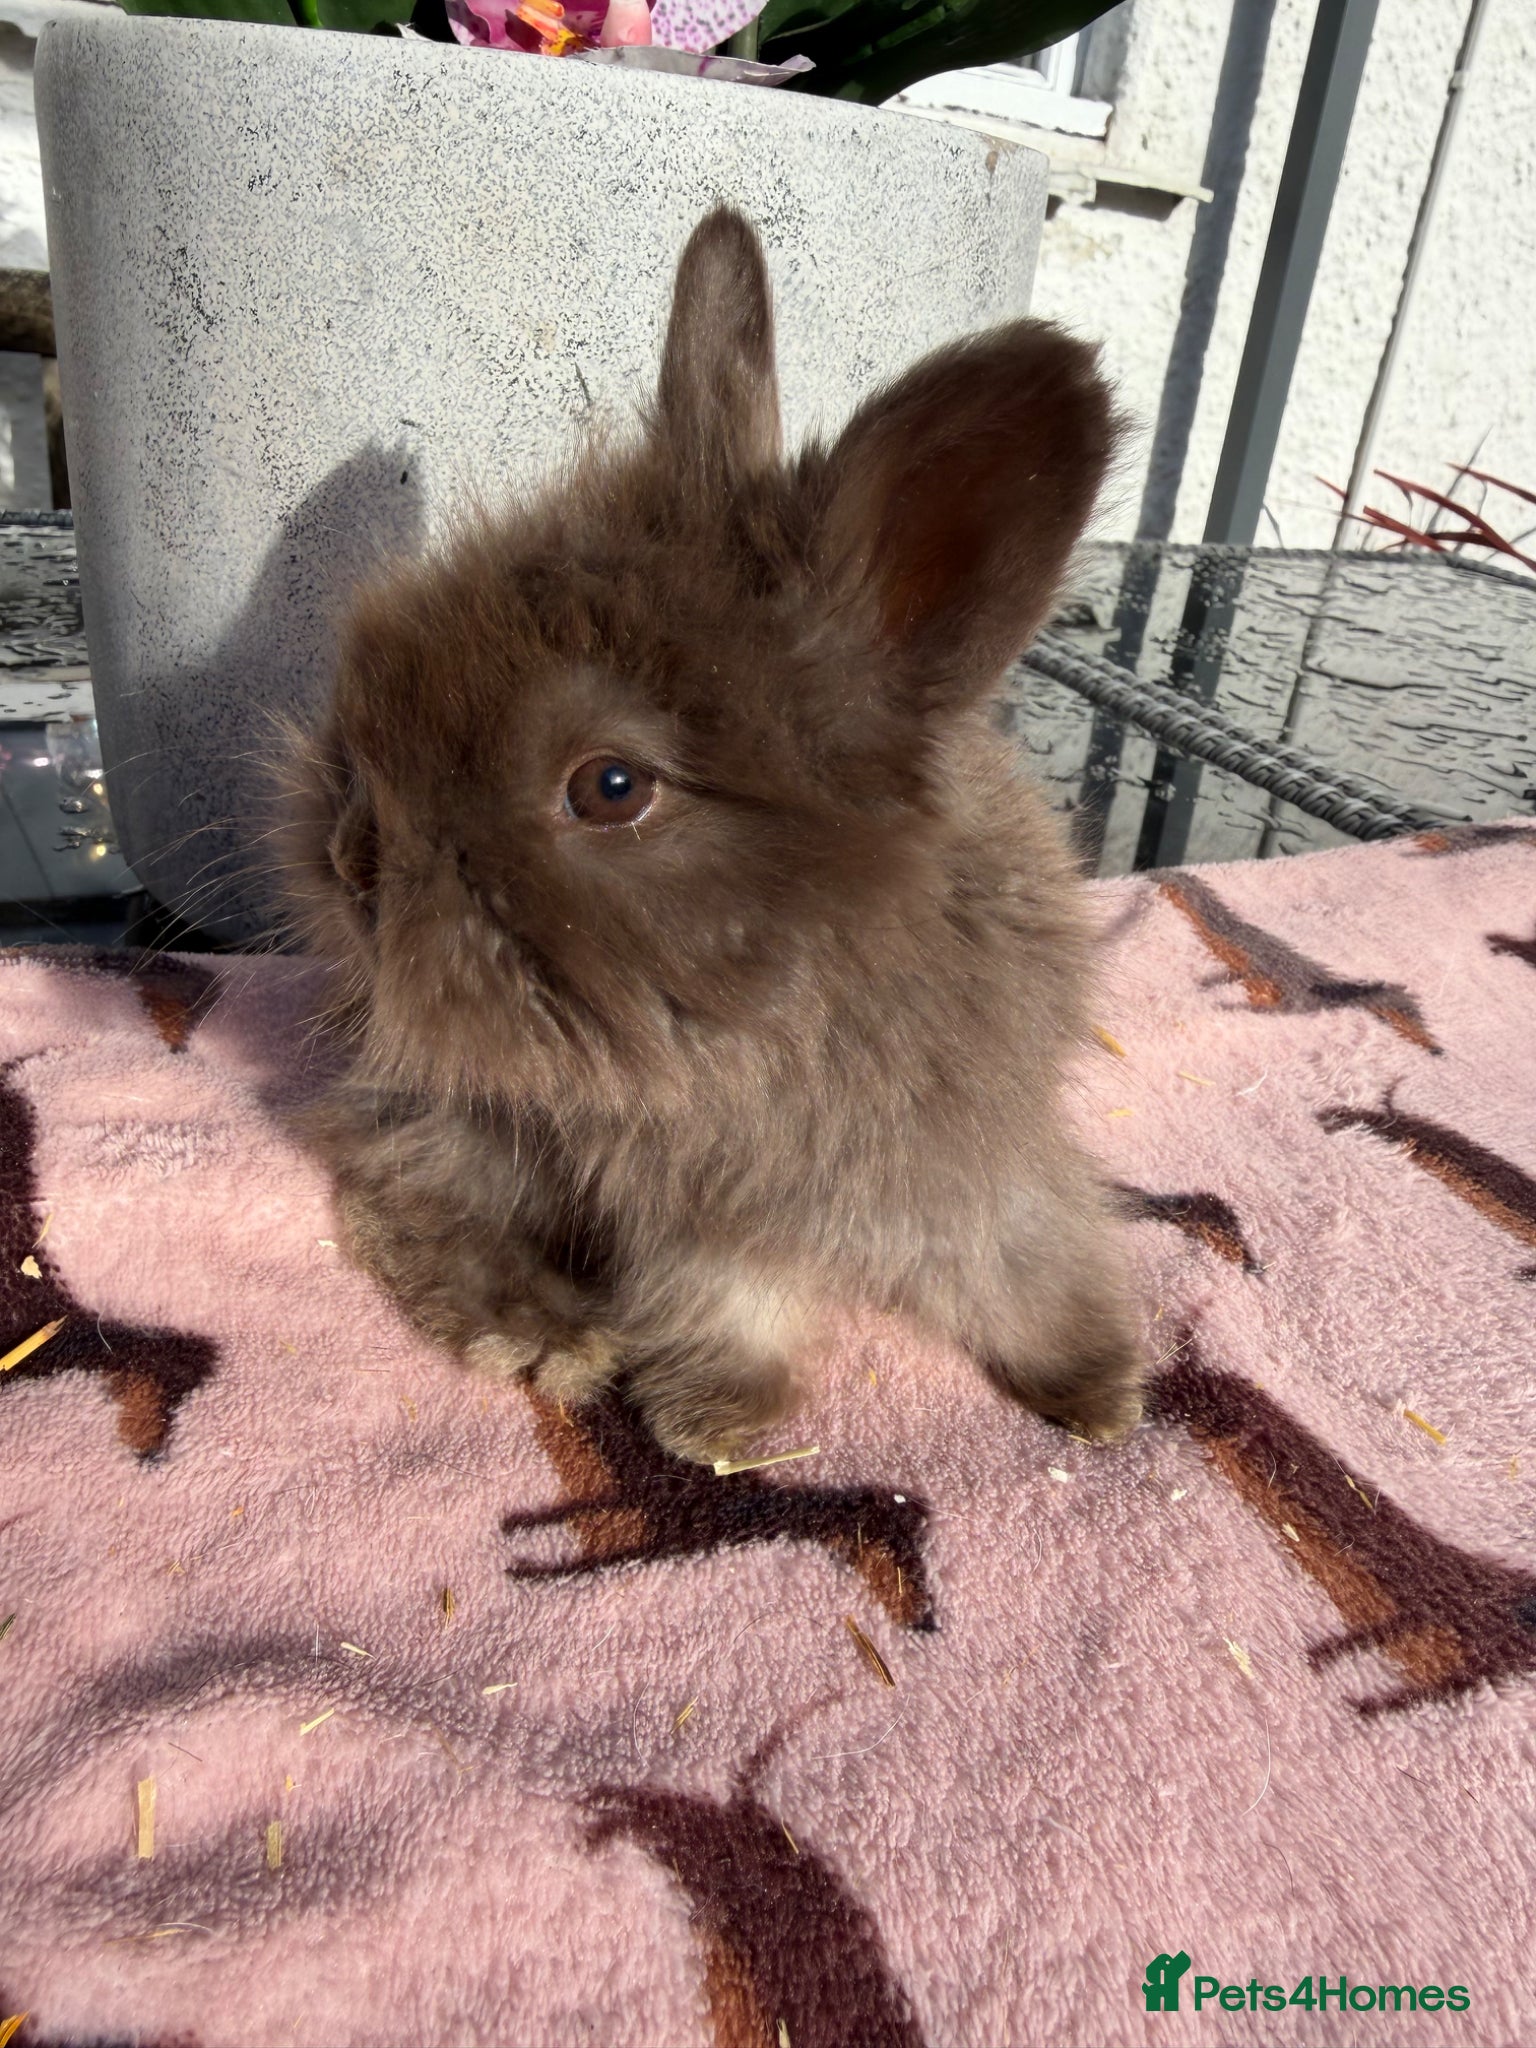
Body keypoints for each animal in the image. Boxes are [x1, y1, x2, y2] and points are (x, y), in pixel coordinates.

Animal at [282, 205, 1144, 1465]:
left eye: (610, 785)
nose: (353, 858)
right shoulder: (711, 1220)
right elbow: (730, 1299)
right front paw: (718, 1422)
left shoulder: (973, 1161)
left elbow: (1025, 1257)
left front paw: (1102, 1384)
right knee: (399, 1187)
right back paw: (542, 1335)